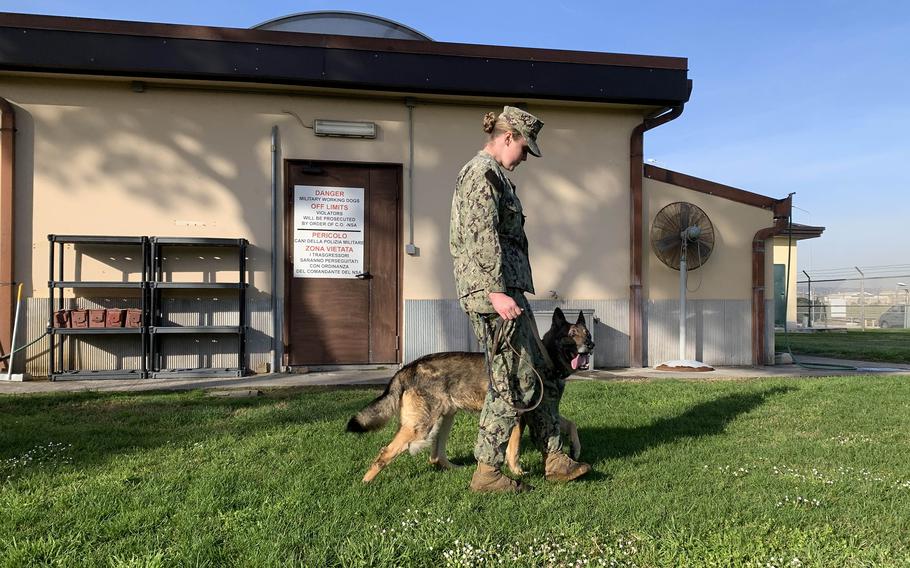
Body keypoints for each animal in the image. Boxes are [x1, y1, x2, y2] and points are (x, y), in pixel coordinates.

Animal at [346, 308, 596, 482]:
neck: (546, 360)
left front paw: (575, 449)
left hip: (444, 419)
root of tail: (408, 368)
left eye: (587, 333)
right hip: (420, 427)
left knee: (435, 457)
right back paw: (365, 483)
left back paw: (456, 470)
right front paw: (517, 472)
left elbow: (571, 425)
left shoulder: (543, 413)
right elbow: (514, 450)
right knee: (385, 452)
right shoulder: (519, 417)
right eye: (572, 335)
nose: (591, 345)